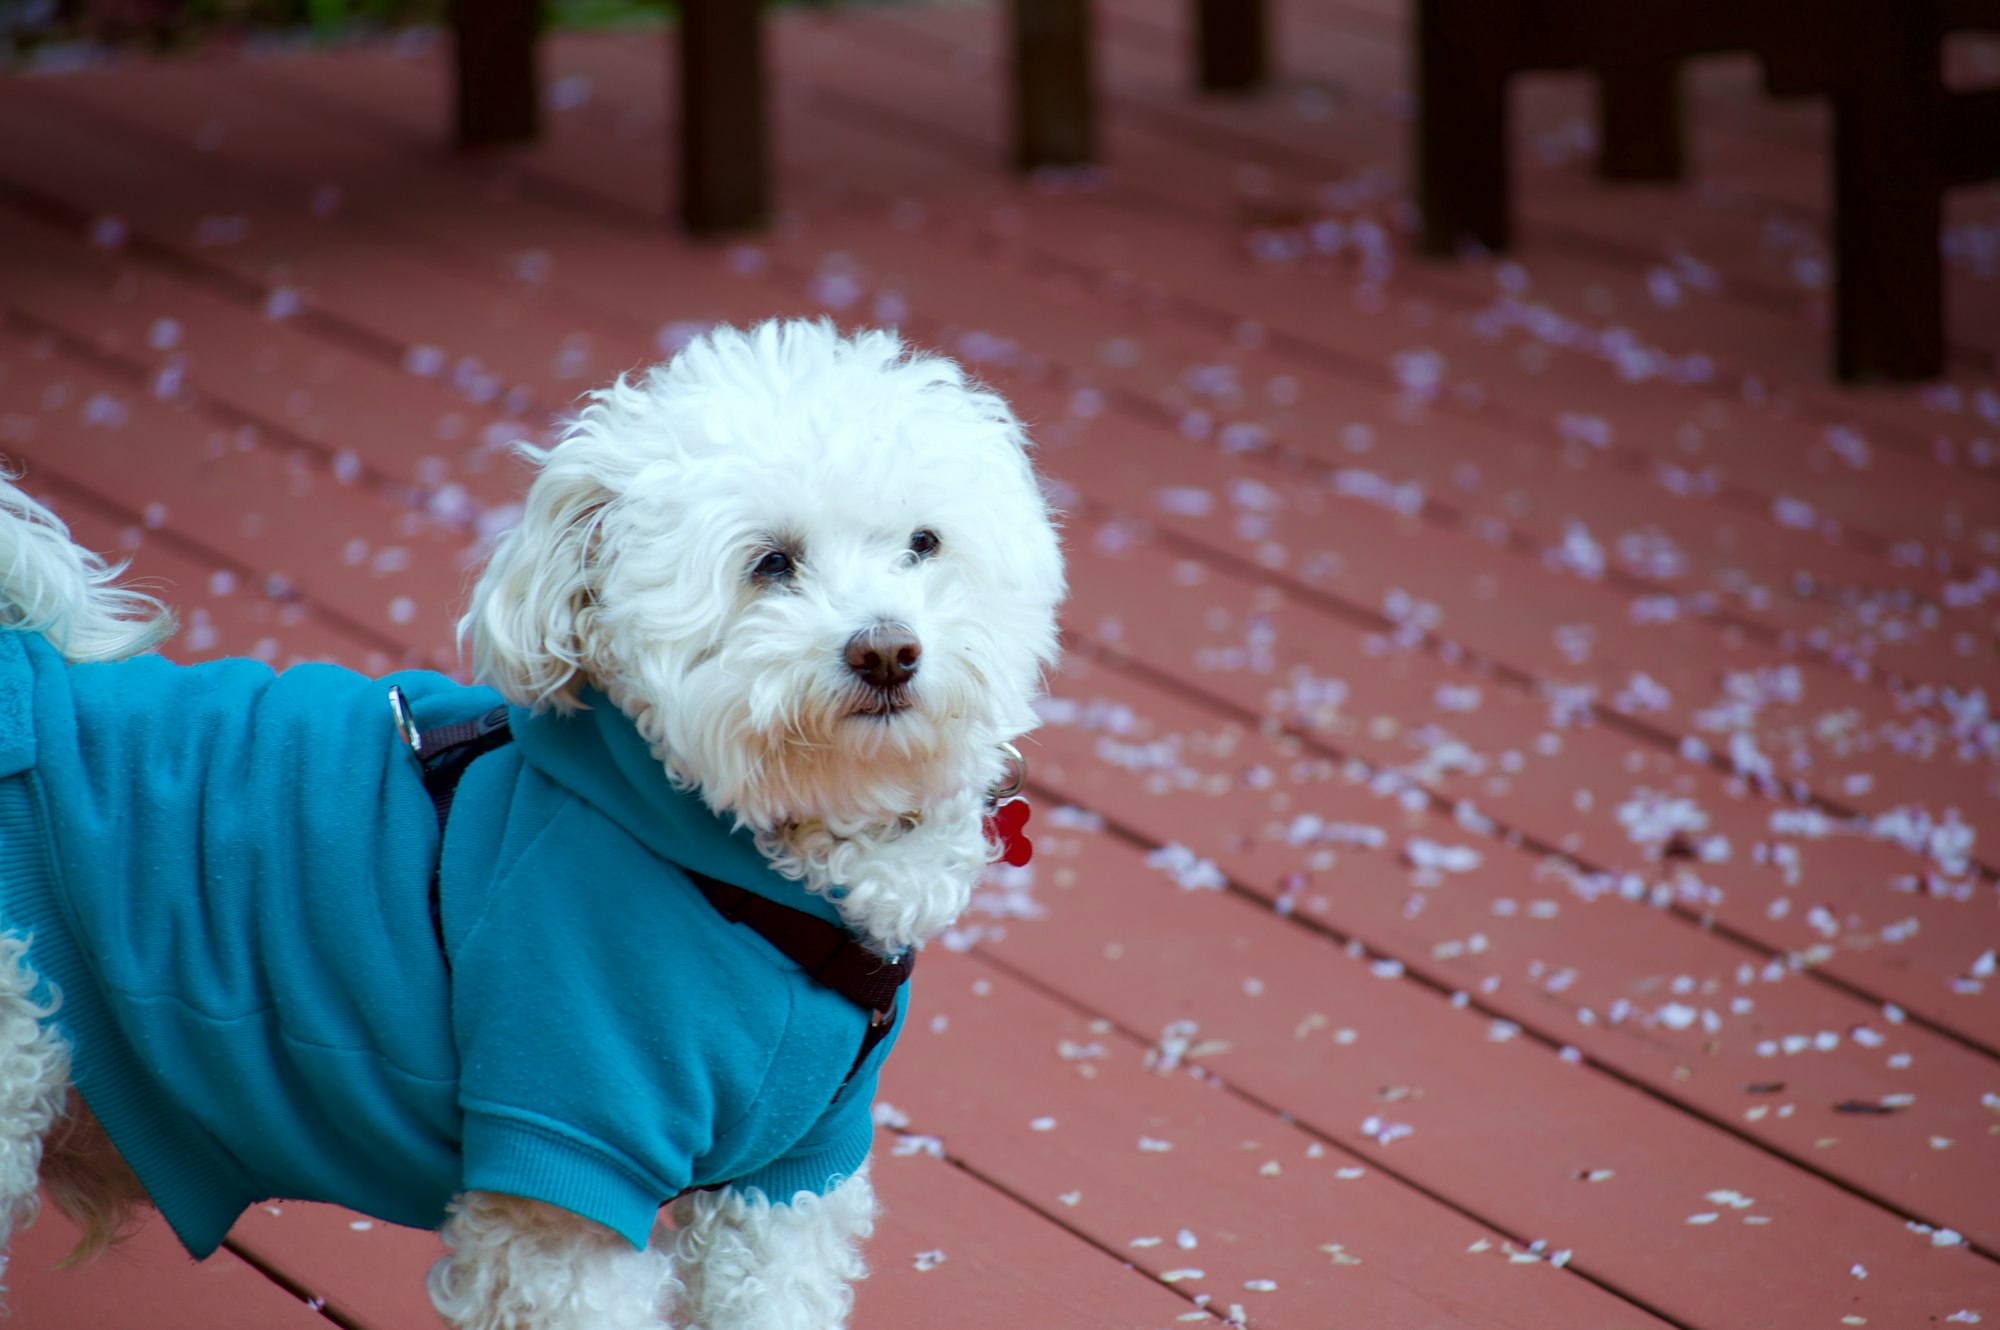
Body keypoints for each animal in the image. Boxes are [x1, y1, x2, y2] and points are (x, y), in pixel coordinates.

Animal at [0, 316, 1072, 1320]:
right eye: (771, 564)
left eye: (924, 545)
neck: (762, 880)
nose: (888, 650)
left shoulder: (790, 1183)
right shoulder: (563, 1162)